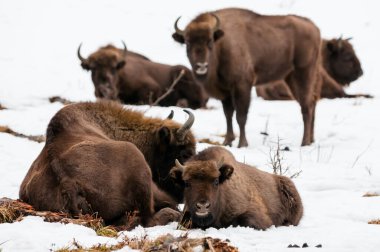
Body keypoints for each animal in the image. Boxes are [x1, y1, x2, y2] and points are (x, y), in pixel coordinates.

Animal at [174, 7, 322, 147]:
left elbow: (241, 116)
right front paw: (227, 141)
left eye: (210, 41)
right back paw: (311, 140)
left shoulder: (242, 86)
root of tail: (313, 27)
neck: (222, 43)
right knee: (312, 101)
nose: (201, 65)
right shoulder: (225, 92)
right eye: (187, 42)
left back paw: (304, 142)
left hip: (303, 73)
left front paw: (242, 144)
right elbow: (228, 115)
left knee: (306, 106)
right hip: (291, 77)